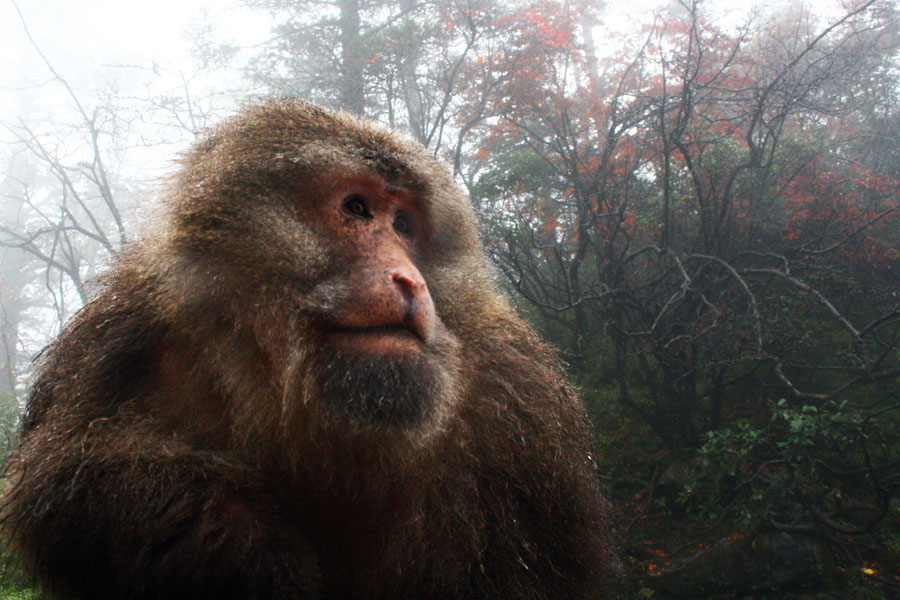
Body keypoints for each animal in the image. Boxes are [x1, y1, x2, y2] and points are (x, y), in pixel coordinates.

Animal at [0, 99, 612, 600]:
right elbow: (70, 484)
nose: (410, 280)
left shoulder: (519, 410)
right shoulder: (128, 333)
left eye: (405, 224)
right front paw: (235, 545)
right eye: (358, 209)